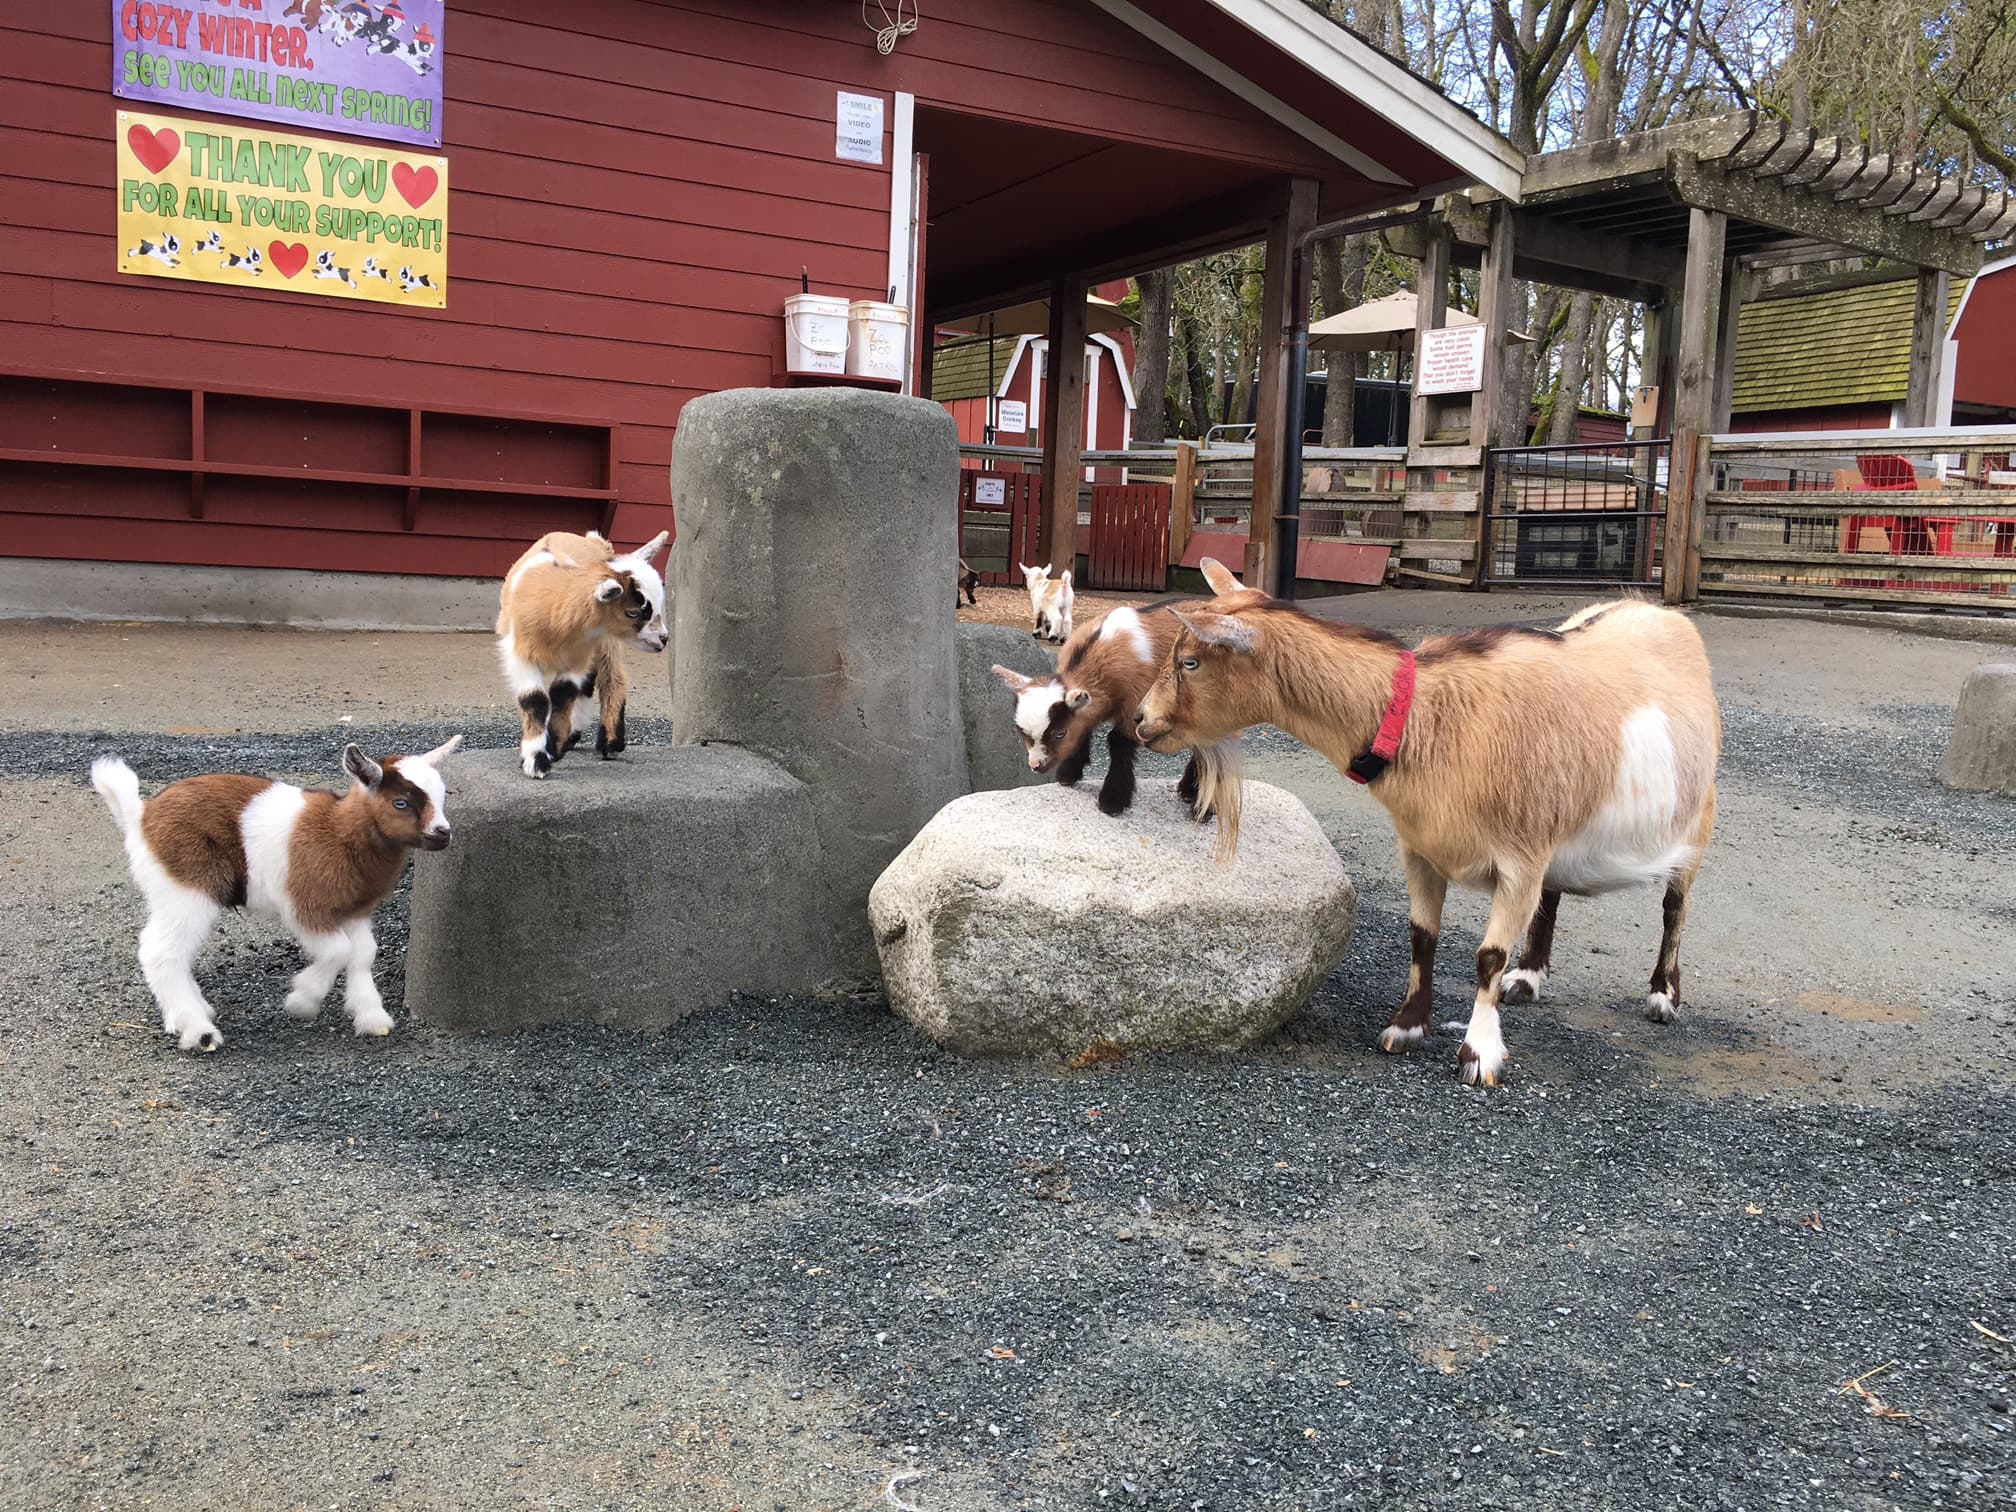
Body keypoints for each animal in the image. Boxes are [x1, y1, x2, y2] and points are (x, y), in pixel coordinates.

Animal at [90, 736, 461, 1053]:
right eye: (401, 803)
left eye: (441, 796)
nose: (443, 833)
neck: (340, 832)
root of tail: (139, 816)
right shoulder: (307, 905)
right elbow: (338, 951)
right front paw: (301, 1002)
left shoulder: (356, 908)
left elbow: (363, 954)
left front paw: (372, 1018)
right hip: (187, 888)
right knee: (159, 951)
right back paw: (199, 1032)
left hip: (175, 892)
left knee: (173, 951)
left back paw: (193, 1014)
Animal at [496, 529, 669, 778]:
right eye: (633, 613)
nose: (664, 639)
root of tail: (594, 541)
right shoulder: (520, 653)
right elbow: (535, 699)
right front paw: (537, 759)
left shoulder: (577, 657)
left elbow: (562, 694)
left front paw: (551, 749)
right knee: (589, 682)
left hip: (606, 643)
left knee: (611, 676)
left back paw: (610, 742)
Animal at [991, 604, 1234, 831]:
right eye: (1021, 732)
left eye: (1060, 733)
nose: (1036, 765)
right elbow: (1086, 728)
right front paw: (1069, 773)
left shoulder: (1135, 703)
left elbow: (1118, 743)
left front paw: (1112, 801)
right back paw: (1188, 790)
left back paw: (1202, 807)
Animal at [1135, 559, 1720, 1086]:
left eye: (1190, 661)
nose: (1140, 719)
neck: (1425, 718)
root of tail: (1652, 610)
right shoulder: (1421, 848)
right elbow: (1422, 936)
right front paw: (1407, 1026)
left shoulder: (1520, 860)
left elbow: (1487, 957)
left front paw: (1479, 1055)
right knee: (1553, 896)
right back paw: (1529, 977)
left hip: (1697, 817)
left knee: (1675, 905)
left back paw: (1662, 995)